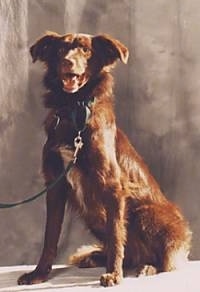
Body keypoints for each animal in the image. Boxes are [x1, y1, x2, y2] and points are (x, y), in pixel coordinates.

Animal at [18, 31, 191, 286]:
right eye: (60, 50)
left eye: (86, 50)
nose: (67, 62)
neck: (75, 113)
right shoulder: (55, 185)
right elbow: (50, 237)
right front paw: (39, 274)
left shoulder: (113, 187)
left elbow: (117, 234)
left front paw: (114, 274)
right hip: (92, 217)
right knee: (129, 253)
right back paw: (96, 257)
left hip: (146, 213)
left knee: (162, 260)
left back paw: (147, 266)